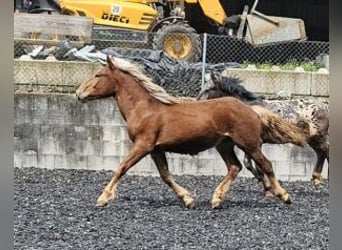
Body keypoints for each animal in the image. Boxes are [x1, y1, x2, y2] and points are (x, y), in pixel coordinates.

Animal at [76, 55, 306, 209]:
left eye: (98, 74)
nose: (78, 93)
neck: (144, 108)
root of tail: (252, 109)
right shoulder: (156, 149)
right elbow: (165, 175)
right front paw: (188, 200)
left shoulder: (143, 145)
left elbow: (121, 167)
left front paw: (103, 198)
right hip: (224, 145)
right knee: (235, 167)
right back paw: (216, 199)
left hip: (248, 143)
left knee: (265, 165)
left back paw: (283, 195)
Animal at [198, 71, 328, 190]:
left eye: (208, 89)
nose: (198, 101)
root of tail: (324, 107)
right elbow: (251, 163)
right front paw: (265, 183)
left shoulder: (255, 142)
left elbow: (251, 163)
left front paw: (266, 184)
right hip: (312, 140)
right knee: (321, 153)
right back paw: (316, 180)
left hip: (319, 138)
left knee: (326, 152)